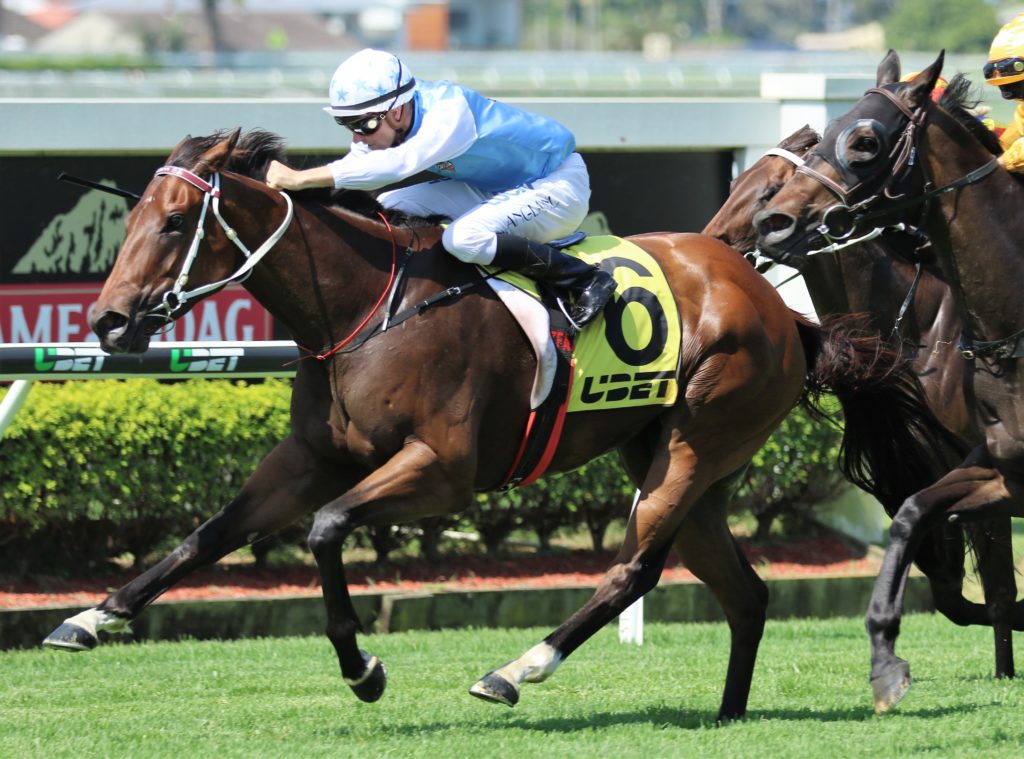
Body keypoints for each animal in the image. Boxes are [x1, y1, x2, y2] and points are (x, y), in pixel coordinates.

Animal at [41, 128, 955, 723]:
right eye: (129, 221)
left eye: (171, 224)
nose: (110, 321)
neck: (363, 309)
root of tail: (776, 307)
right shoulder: (308, 457)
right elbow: (209, 534)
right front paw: (89, 617)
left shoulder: (440, 468)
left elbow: (327, 529)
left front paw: (362, 666)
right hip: (681, 462)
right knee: (745, 590)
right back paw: (728, 713)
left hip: (697, 443)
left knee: (636, 568)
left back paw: (518, 668)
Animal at [753, 50, 1024, 713]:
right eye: (822, 135)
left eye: (865, 141)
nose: (770, 224)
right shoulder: (977, 463)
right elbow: (926, 535)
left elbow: (993, 580)